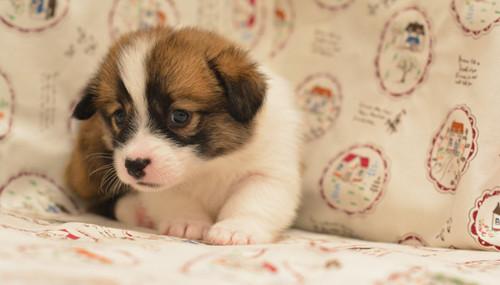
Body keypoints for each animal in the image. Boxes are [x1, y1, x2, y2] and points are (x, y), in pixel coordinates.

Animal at [66, 27, 300, 244]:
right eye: (120, 116)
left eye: (180, 116)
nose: (134, 165)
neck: (210, 165)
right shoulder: (161, 186)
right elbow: (176, 198)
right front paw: (188, 223)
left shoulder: (269, 172)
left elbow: (251, 200)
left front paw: (237, 228)